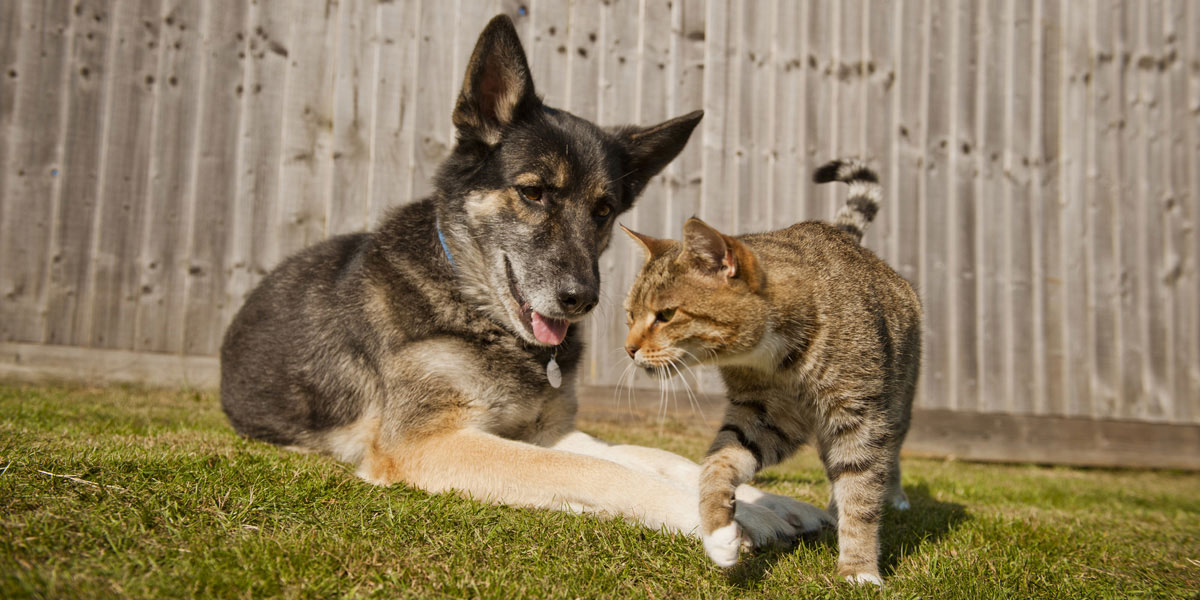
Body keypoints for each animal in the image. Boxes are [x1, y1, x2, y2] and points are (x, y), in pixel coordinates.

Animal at [220, 12, 830, 549]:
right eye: (533, 192)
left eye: (604, 211)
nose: (581, 300)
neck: (471, 303)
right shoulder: (429, 442)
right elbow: (587, 469)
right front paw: (711, 513)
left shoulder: (546, 430)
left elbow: (651, 455)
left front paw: (771, 502)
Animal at [619, 160, 916, 585]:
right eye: (630, 315)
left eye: (666, 314)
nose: (629, 348)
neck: (777, 359)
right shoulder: (765, 414)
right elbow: (718, 461)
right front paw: (719, 534)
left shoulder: (858, 415)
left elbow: (861, 490)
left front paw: (859, 570)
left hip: (897, 400)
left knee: (887, 455)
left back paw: (893, 497)